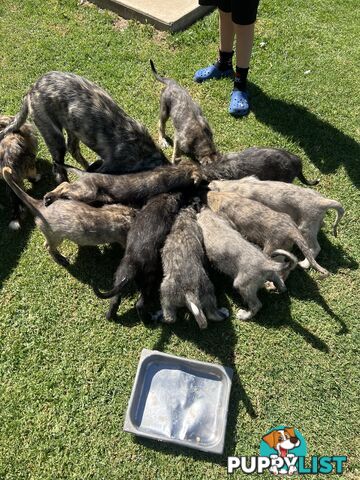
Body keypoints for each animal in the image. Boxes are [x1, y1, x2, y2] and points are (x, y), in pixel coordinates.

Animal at [0, 70, 167, 183]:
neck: (143, 151)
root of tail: (31, 90)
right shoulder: (109, 168)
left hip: (74, 128)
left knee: (73, 149)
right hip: (53, 135)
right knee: (58, 168)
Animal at [43, 160, 201, 207]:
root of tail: (85, 174)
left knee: (64, 185)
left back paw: (50, 197)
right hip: (86, 192)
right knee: (64, 185)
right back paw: (48, 196)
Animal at [93, 194, 183, 322]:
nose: (178, 195)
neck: (160, 202)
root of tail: (132, 267)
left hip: (119, 276)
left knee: (114, 300)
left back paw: (110, 316)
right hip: (148, 282)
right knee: (140, 304)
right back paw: (148, 320)